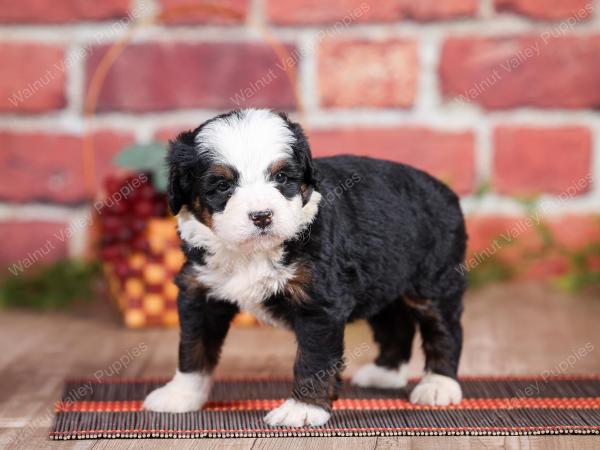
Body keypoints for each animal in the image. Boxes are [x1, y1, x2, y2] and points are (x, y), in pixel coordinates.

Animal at [143, 108, 466, 426]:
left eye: (282, 176)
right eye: (222, 186)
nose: (262, 216)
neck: (253, 253)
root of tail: (443, 189)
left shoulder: (319, 303)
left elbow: (314, 358)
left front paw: (303, 409)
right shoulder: (200, 291)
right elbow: (193, 347)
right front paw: (181, 395)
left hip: (434, 279)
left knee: (443, 329)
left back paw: (438, 384)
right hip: (383, 277)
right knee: (395, 323)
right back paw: (385, 374)